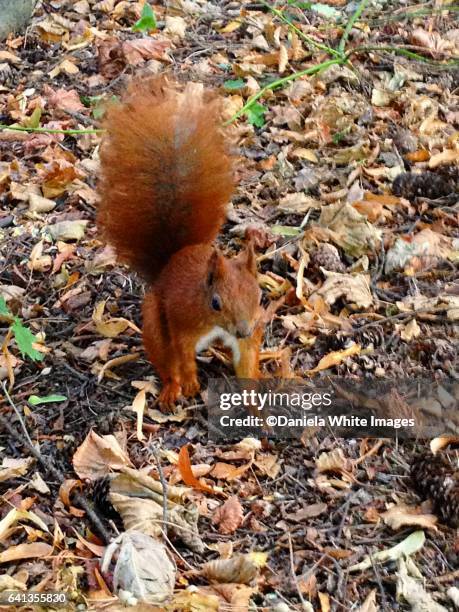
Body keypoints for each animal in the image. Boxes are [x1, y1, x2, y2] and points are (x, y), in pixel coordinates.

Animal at [97, 75, 262, 406]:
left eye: (259, 295)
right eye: (215, 302)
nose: (242, 331)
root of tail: (170, 262)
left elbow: (248, 362)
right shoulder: (182, 321)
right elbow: (183, 355)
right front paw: (189, 382)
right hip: (155, 323)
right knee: (165, 360)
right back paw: (172, 389)